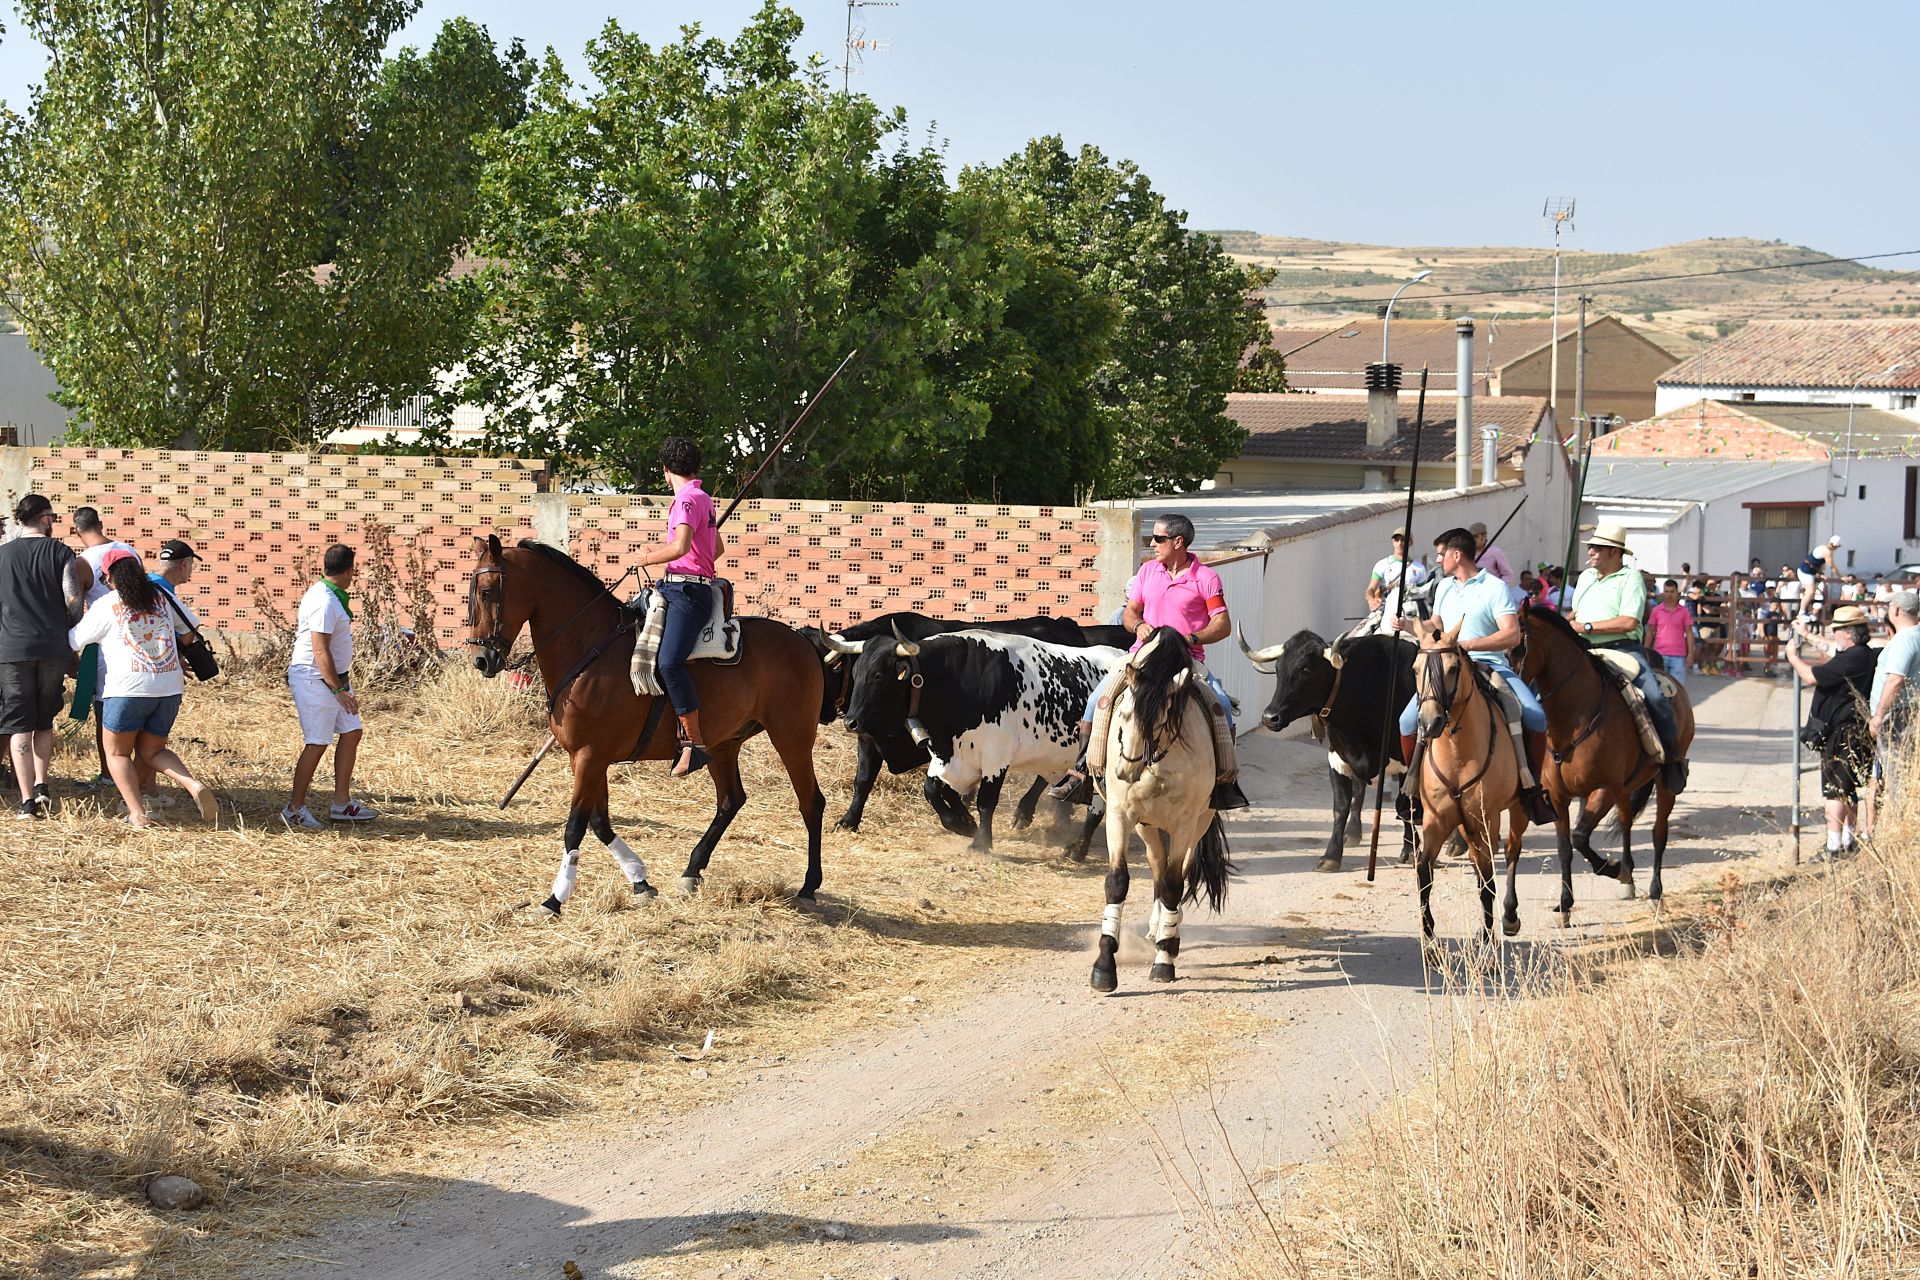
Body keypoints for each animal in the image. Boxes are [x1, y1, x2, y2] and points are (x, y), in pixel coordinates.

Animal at [805, 612, 1103, 833]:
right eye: (856, 672)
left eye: (877, 675)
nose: (850, 722)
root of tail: (1064, 624)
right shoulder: (869, 738)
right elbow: (863, 780)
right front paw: (848, 821)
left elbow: (944, 787)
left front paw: (964, 821)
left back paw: (1025, 812)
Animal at [840, 629, 1125, 857]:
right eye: (855, 671)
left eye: (878, 675)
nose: (851, 721)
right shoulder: (948, 757)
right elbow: (933, 790)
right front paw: (962, 824)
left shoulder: (995, 757)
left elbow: (985, 801)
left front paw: (980, 842)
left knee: (1098, 808)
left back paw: (1077, 848)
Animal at [1240, 629, 1418, 872]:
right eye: (1278, 668)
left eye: (1305, 669)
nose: (1270, 717)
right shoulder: (1338, 759)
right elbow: (1341, 807)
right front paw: (1331, 856)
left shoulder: (1407, 762)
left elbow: (1407, 807)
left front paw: (1410, 852)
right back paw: (1353, 833)